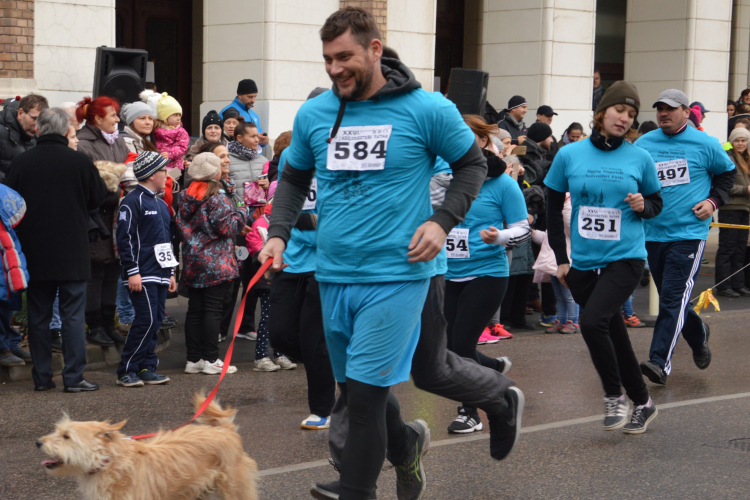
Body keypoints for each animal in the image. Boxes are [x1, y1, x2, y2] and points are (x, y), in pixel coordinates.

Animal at [37, 394, 258, 500]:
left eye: (66, 436)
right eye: (58, 431)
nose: (38, 442)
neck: (109, 463)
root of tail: (225, 431)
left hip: (234, 490)